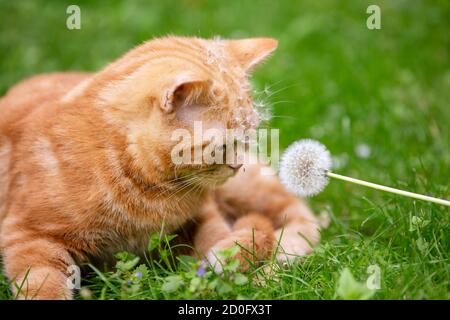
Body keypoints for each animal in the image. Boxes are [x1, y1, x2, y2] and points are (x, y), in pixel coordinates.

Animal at [0, 37, 320, 300]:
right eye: (222, 145)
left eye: (248, 135)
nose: (237, 164)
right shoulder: (29, 237)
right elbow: (44, 286)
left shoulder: (204, 215)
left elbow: (231, 239)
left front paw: (226, 260)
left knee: (299, 216)